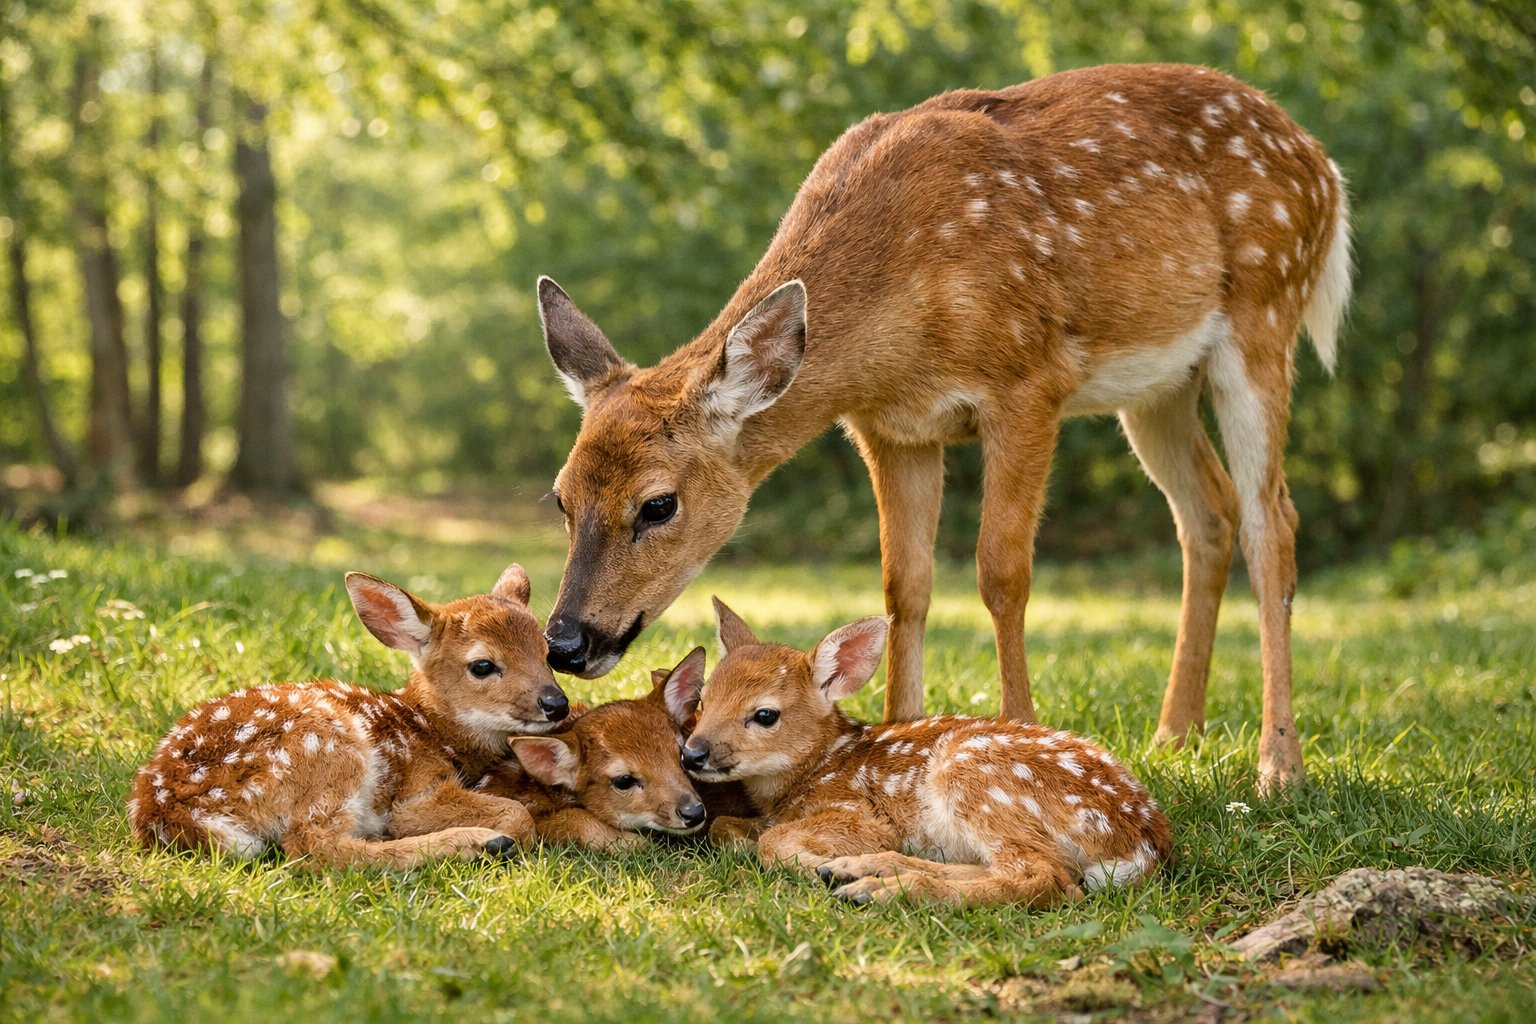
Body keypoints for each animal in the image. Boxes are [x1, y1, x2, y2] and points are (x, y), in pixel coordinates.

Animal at [128, 565, 572, 868]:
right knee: (316, 847)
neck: (429, 729)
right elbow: (516, 814)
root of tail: (166, 812)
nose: (556, 703)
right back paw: (483, 843)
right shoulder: (413, 793)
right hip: (326, 745)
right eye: (482, 665)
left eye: (547, 653)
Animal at [534, 63, 1352, 793]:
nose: (567, 642)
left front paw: (1023, 732)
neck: (898, 319)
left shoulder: (1030, 379)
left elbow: (1002, 572)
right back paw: (1173, 736)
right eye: (562, 497)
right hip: (1158, 386)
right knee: (1208, 513)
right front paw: (901, 734)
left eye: (658, 504)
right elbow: (906, 586)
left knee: (1271, 520)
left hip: (1264, 313)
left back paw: (1279, 766)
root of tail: (1324, 166)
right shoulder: (893, 429)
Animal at [679, 599, 1172, 907]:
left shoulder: (857, 811)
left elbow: (774, 840)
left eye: (765, 714)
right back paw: (864, 873)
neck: (816, 768)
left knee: (1045, 878)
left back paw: (876, 887)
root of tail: (1145, 844)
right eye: (703, 701)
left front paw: (813, 862)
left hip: (978, 776)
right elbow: (724, 826)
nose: (692, 754)